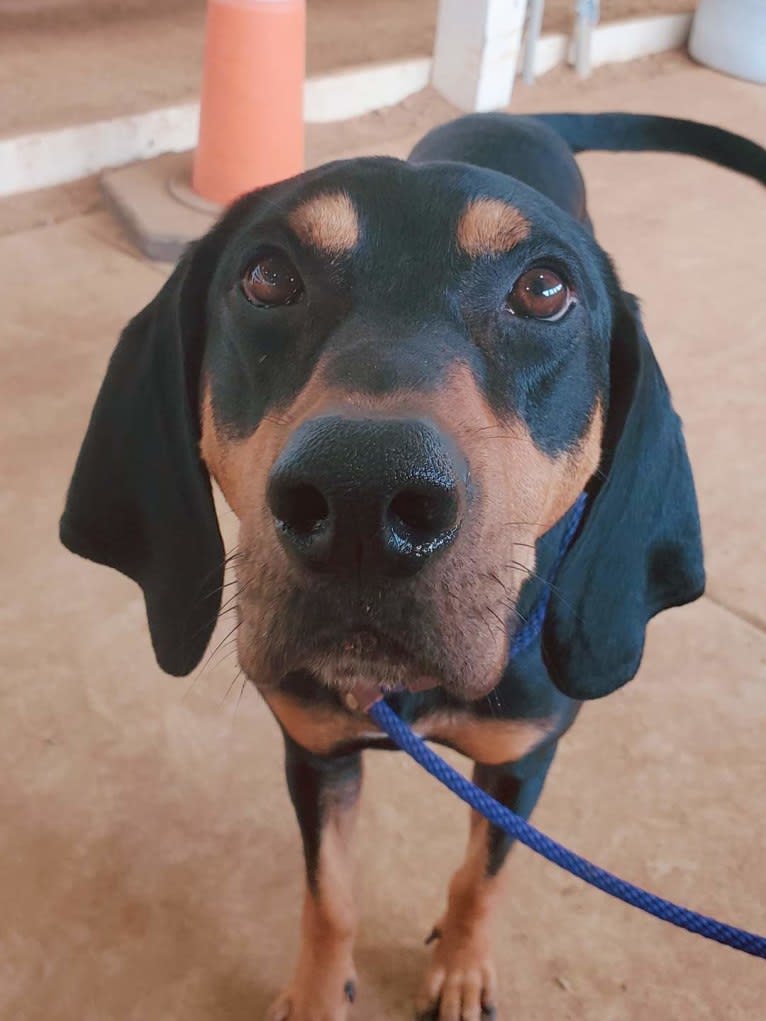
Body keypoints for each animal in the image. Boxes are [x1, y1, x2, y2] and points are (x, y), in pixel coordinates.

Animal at [61, 113, 766, 1021]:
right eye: (267, 275)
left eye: (545, 290)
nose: (364, 496)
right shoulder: (315, 751)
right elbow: (329, 893)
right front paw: (318, 990)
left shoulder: (520, 762)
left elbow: (482, 878)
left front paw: (462, 967)